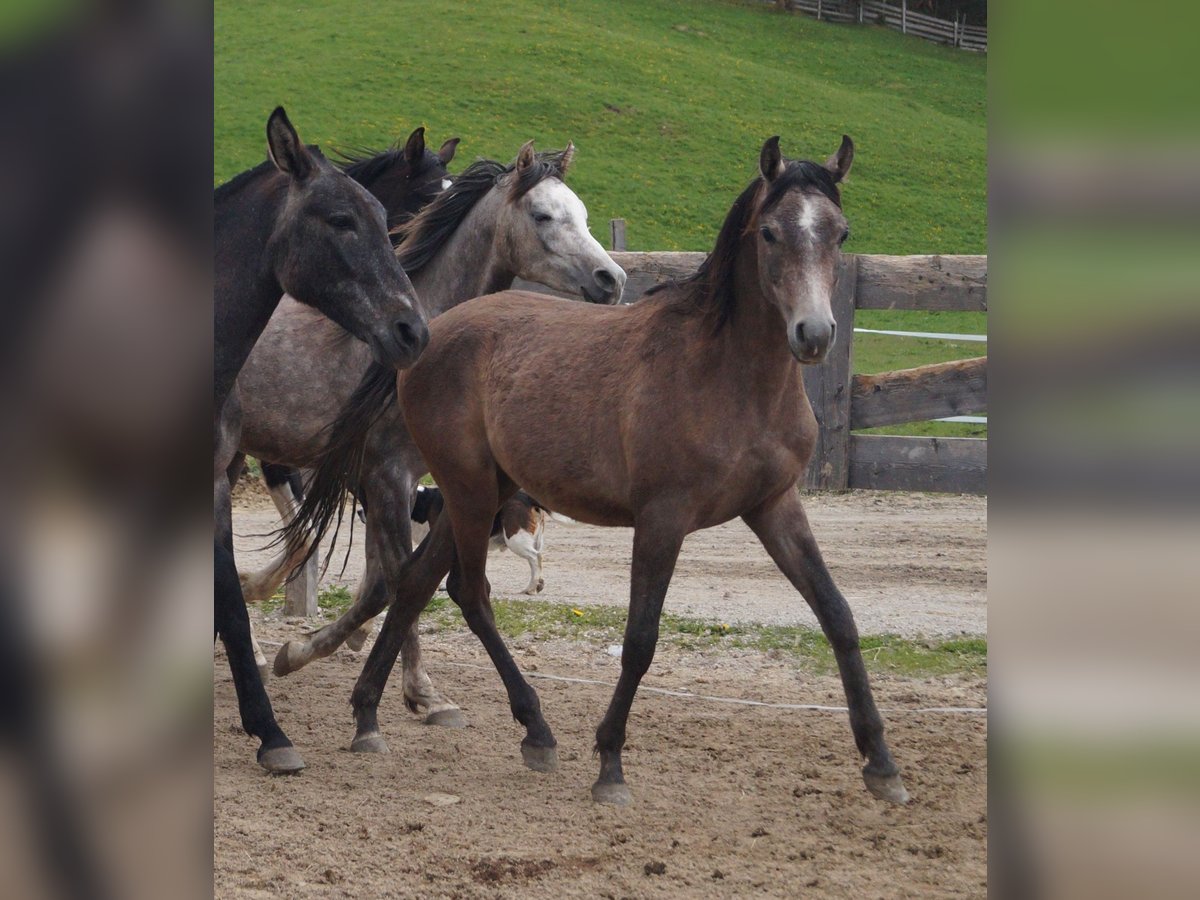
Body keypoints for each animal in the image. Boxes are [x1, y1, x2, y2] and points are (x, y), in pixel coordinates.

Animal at [290, 132, 907, 801]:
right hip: (470, 490)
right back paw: (533, 730)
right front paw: (610, 762)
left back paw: (370, 714)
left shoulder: (775, 505)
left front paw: (881, 763)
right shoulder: (663, 517)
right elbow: (640, 640)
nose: (813, 334)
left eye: (840, 232)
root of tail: (429, 332)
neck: (727, 375)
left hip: (479, 493)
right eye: (770, 232)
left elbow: (838, 615)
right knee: (468, 592)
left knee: (416, 583)